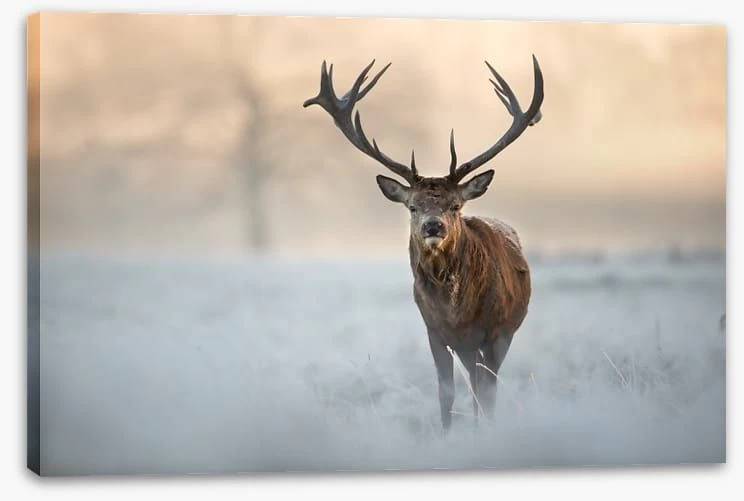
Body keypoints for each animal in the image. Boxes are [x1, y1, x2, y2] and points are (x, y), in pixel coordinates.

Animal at [303, 55, 544, 430]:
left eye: (456, 205)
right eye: (413, 206)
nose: (433, 226)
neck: (456, 313)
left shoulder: (494, 331)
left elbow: (487, 393)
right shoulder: (434, 332)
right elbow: (446, 393)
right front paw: (446, 433)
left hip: (504, 332)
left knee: (483, 385)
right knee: (473, 382)